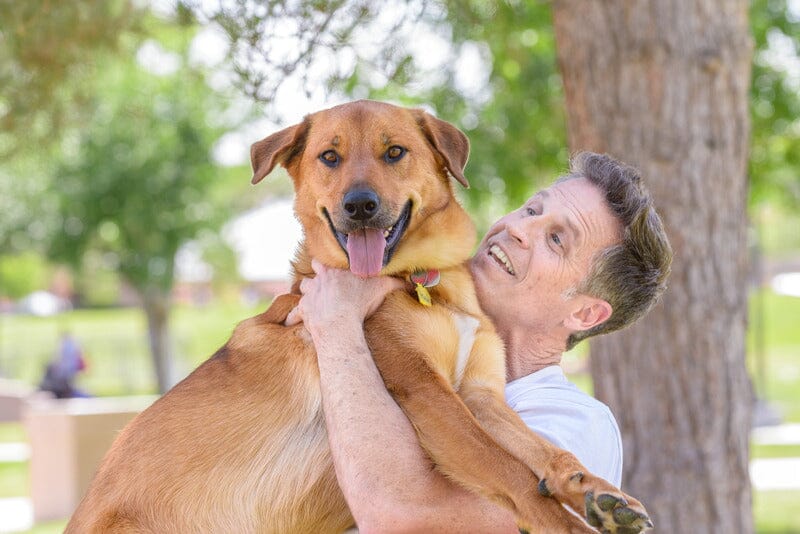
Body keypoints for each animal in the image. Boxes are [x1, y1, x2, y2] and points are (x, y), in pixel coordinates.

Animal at [67, 101, 648, 534]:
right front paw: (570, 522)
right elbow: (510, 471)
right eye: (329, 157)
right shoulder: (426, 390)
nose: (360, 205)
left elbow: (545, 449)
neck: (423, 282)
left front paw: (596, 491)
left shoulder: (479, 395)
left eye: (395, 152)